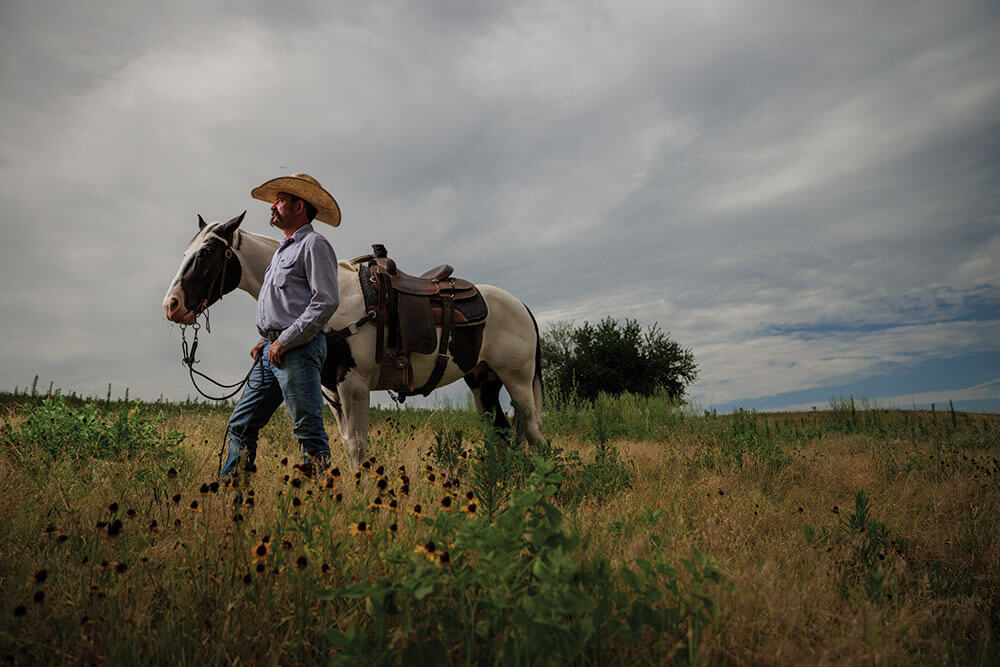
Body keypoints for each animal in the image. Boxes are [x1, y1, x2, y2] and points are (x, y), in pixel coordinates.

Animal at [160, 214, 544, 470]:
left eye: (207, 252)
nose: (172, 305)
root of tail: (521, 306)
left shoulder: (354, 384)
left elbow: (358, 446)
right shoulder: (330, 390)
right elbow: (344, 445)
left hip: (517, 379)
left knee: (533, 430)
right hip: (483, 381)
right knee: (500, 433)